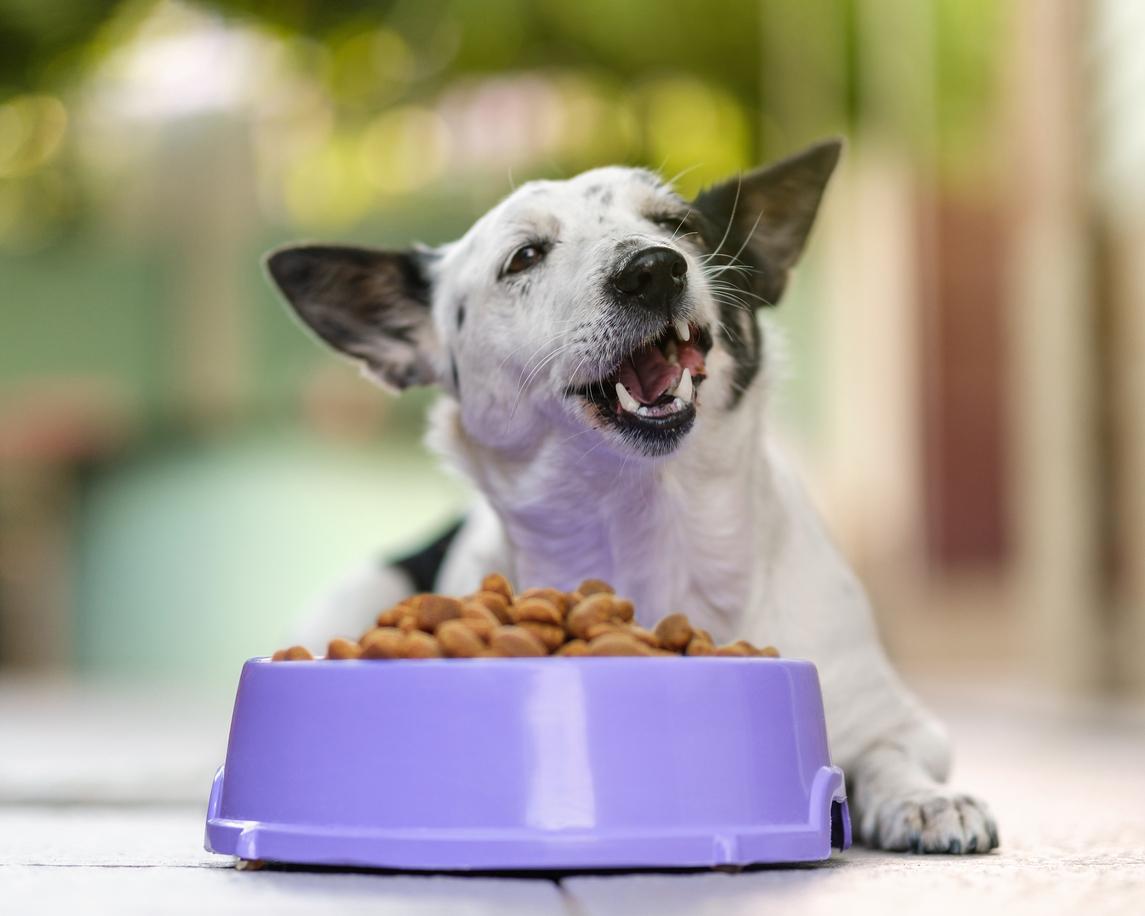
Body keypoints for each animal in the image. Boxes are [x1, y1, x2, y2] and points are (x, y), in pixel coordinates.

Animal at [263, 139, 998, 856]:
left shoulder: (900, 720)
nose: (653, 269)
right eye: (525, 256)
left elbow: (885, 755)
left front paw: (925, 800)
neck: (648, 521)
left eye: (680, 227)